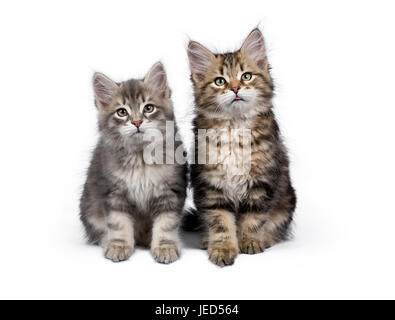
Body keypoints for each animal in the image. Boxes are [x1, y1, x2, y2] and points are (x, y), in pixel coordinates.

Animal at [81, 63, 189, 264]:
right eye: (122, 112)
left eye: (148, 108)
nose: (137, 122)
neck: (140, 158)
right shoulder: (114, 193)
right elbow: (119, 223)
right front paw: (119, 245)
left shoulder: (170, 192)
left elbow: (166, 224)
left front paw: (165, 247)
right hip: (89, 208)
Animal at [189, 28, 296, 266]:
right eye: (220, 81)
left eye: (246, 76)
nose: (236, 88)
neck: (234, 127)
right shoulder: (211, 186)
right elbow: (220, 223)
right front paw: (222, 249)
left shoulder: (260, 182)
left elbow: (253, 219)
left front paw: (251, 243)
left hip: (288, 199)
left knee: (276, 226)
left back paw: (267, 238)